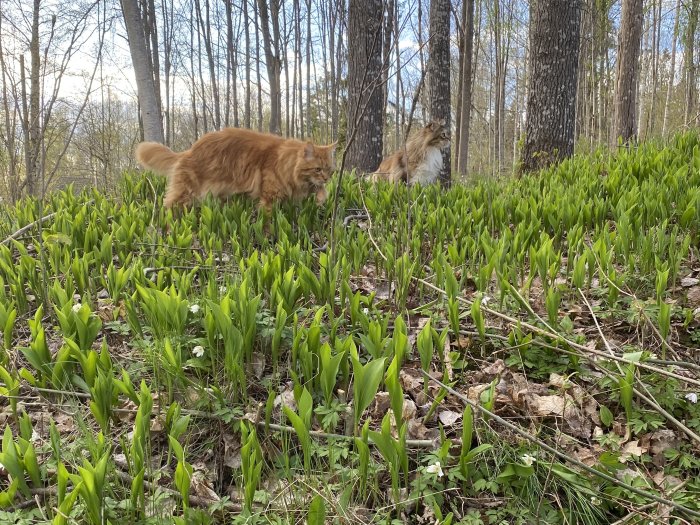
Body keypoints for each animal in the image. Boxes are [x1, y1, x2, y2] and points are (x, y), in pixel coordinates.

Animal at [136, 126, 336, 211]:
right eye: (317, 169)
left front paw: (321, 197)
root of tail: (189, 151)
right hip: (186, 192)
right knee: (168, 206)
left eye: (329, 170)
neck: (284, 159)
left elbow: (318, 190)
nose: (327, 178)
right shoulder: (269, 197)